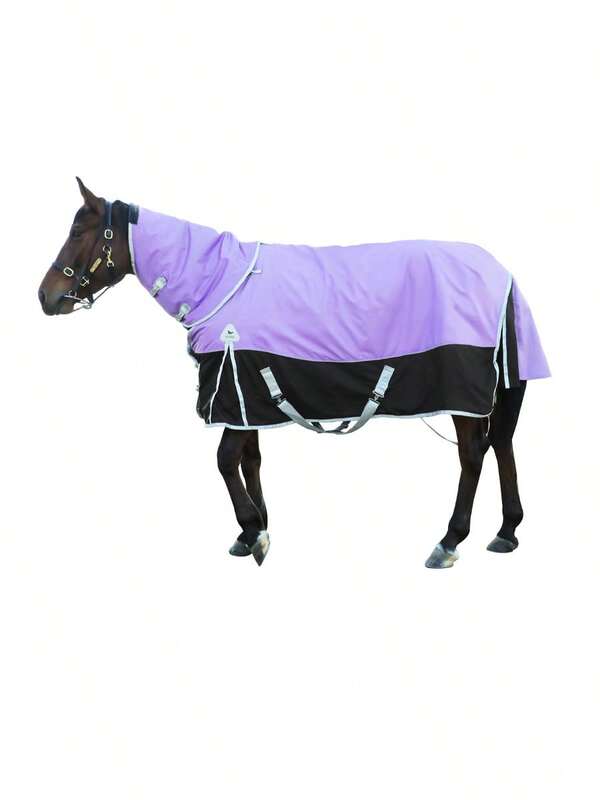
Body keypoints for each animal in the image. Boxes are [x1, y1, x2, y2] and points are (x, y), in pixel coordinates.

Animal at [38, 178, 550, 568]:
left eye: (79, 230)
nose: (45, 296)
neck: (217, 284)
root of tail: (501, 274)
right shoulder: (247, 396)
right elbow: (249, 460)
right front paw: (253, 531)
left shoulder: (236, 387)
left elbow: (225, 461)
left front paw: (254, 533)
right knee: (502, 443)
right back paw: (506, 531)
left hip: (464, 394)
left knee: (473, 455)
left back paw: (449, 541)